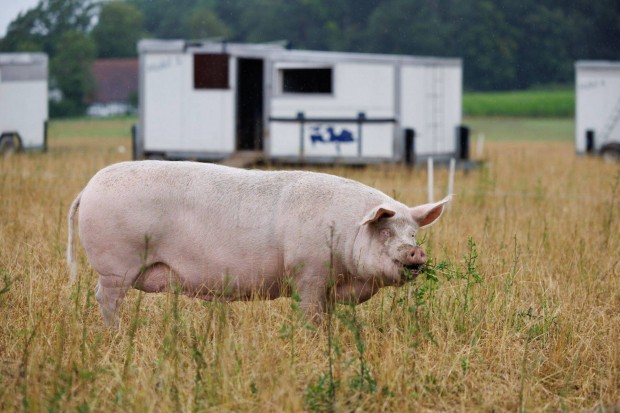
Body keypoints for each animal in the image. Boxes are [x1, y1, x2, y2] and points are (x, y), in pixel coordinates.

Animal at [68, 161, 448, 326]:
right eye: (385, 233)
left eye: (412, 233)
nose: (416, 251)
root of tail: (88, 187)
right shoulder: (308, 272)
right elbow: (310, 313)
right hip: (116, 265)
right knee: (105, 298)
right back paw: (114, 333)